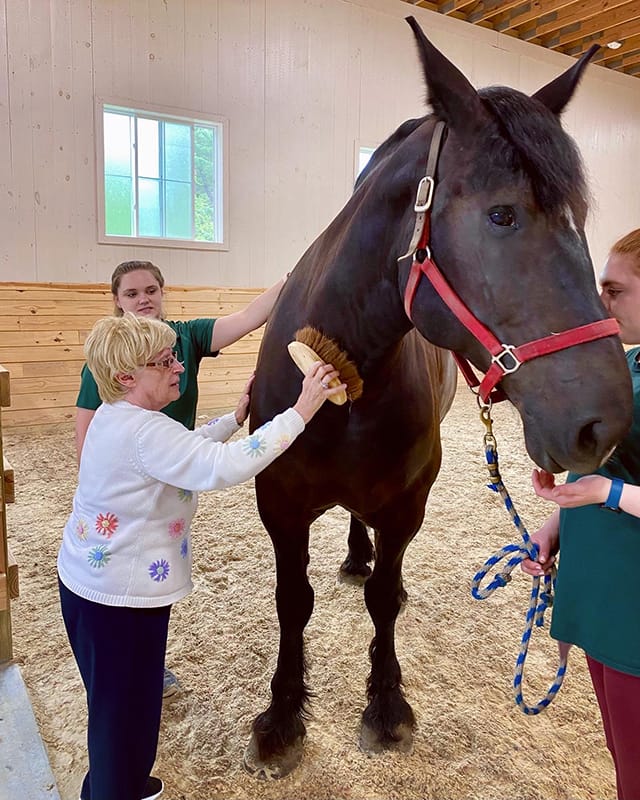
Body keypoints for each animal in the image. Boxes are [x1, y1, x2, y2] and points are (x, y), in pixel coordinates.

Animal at [244, 16, 633, 779]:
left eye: (579, 219)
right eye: (502, 214)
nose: (604, 425)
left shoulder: (405, 504)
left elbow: (383, 601)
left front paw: (386, 704)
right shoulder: (279, 504)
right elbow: (292, 601)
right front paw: (281, 717)